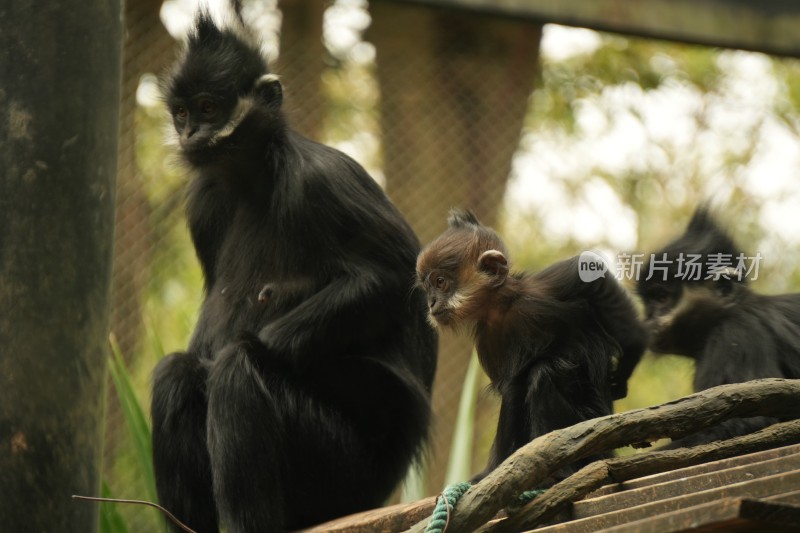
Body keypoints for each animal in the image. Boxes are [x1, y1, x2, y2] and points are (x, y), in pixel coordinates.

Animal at [150, 12, 438, 532]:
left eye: (208, 107)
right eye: (181, 113)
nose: (189, 134)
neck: (253, 178)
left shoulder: (318, 178)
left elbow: (395, 277)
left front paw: (236, 354)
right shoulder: (203, 202)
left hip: (343, 471)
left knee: (239, 369)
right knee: (173, 373)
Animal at [416, 210, 648, 480]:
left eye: (440, 282)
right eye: (427, 288)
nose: (431, 303)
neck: (503, 308)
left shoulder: (541, 289)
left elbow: (588, 275)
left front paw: (629, 360)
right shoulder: (488, 341)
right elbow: (511, 389)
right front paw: (492, 471)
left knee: (546, 373)